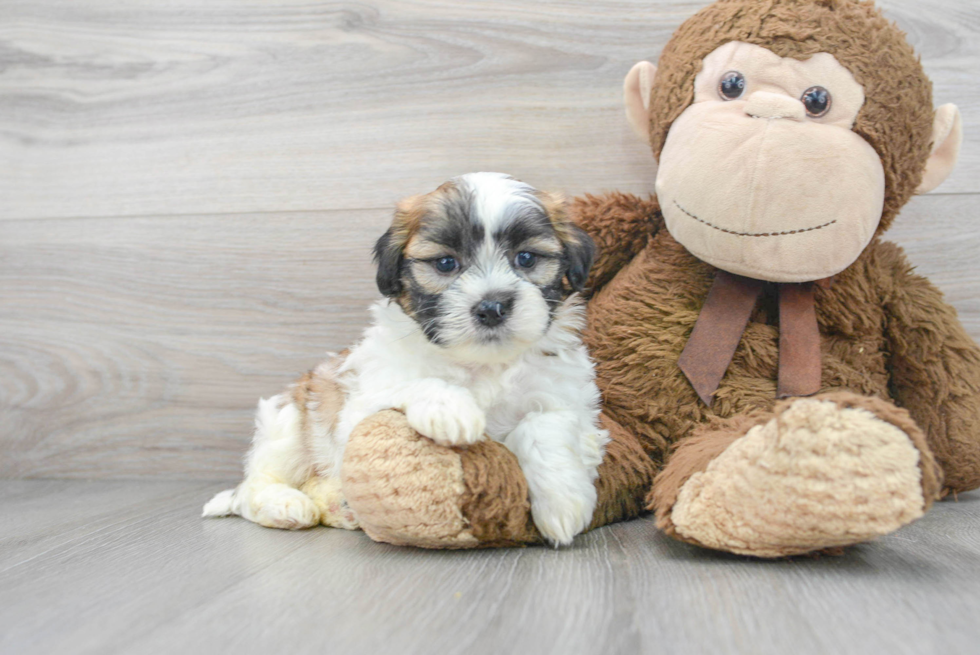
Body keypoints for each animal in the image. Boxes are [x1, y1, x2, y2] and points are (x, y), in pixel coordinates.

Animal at [203, 172, 608, 544]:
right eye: (445, 264)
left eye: (526, 258)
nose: (491, 307)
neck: (482, 364)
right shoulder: (361, 403)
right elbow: (415, 382)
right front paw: (452, 410)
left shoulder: (565, 394)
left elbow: (545, 425)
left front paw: (562, 502)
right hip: (289, 424)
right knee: (254, 486)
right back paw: (284, 504)